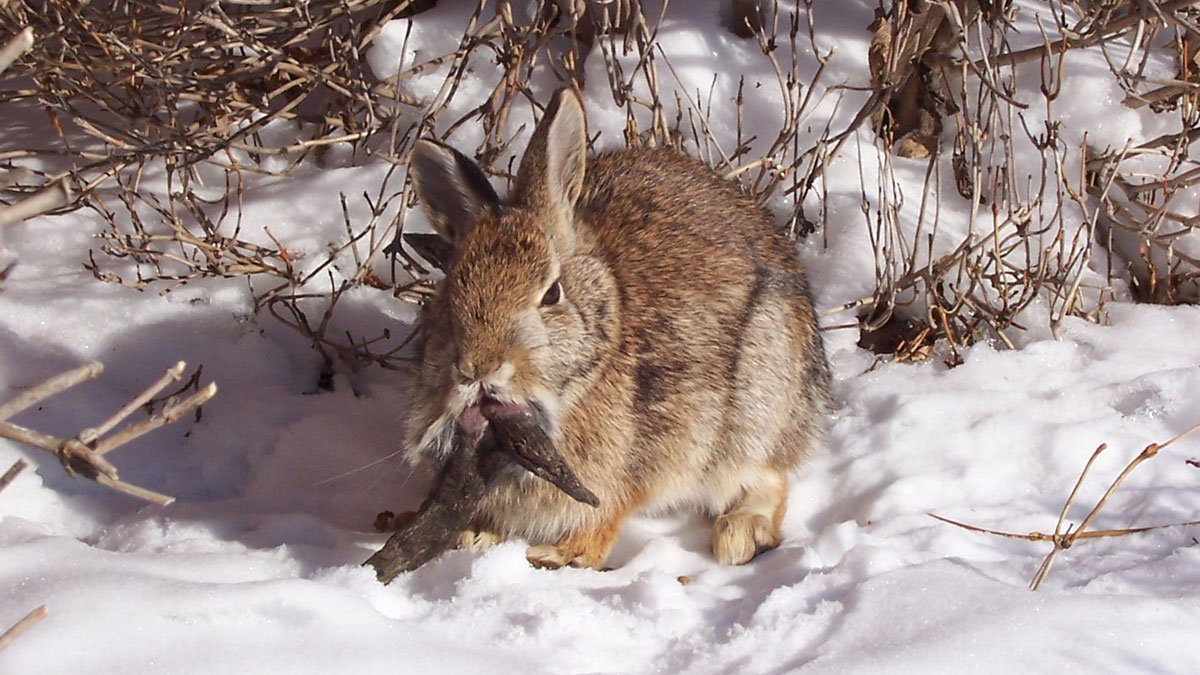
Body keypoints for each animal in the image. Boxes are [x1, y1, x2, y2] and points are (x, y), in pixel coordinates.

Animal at [402, 87, 830, 570]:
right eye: (450, 293)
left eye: (552, 294)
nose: (478, 368)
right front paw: (475, 536)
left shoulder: (627, 472)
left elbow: (603, 518)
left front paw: (559, 556)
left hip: (758, 400)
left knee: (767, 475)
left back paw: (741, 535)